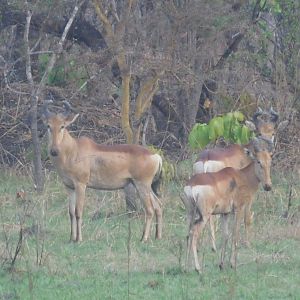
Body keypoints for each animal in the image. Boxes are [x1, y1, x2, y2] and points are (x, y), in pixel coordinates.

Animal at [41, 102, 163, 243]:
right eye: (48, 125)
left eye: (62, 126)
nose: (54, 151)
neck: (74, 149)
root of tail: (155, 156)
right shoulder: (69, 186)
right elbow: (71, 212)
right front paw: (71, 238)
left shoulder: (81, 184)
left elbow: (78, 211)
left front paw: (79, 239)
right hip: (145, 186)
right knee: (158, 205)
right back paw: (157, 236)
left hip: (142, 184)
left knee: (150, 209)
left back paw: (143, 238)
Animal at [184, 137, 274, 274]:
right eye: (258, 161)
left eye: (270, 161)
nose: (268, 186)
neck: (241, 177)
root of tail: (192, 185)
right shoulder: (239, 209)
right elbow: (235, 234)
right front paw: (232, 264)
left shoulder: (224, 213)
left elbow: (225, 235)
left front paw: (221, 264)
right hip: (205, 215)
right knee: (194, 233)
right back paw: (198, 268)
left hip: (190, 213)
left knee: (188, 233)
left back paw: (185, 267)